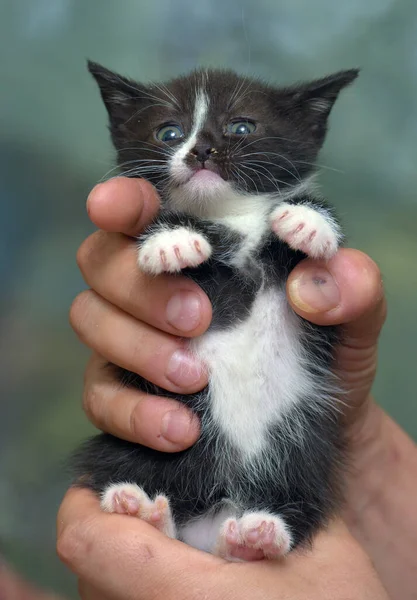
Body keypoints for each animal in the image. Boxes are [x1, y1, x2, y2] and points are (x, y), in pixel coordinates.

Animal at [72, 62, 358, 564]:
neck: (231, 218)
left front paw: (308, 220)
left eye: (241, 127)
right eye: (170, 132)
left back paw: (259, 537)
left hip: (306, 448)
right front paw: (172, 238)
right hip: (133, 449)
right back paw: (141, 509)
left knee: (297, 494)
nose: (202, 150)